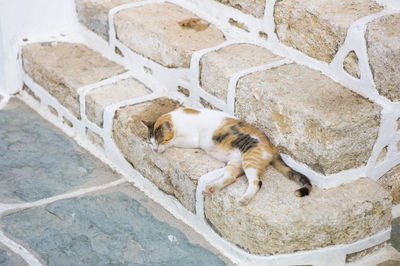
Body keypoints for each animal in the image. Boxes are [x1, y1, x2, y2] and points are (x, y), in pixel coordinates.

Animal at [143, 107, 312, 205]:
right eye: (150, 142)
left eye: (162, 140)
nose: (155, 150)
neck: (178, 118)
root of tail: (271, 146)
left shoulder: (191, 139)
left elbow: (177, 141)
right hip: (235, 162)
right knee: (231, 177)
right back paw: (211, 188)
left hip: (250, 158)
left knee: (257, 182)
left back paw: (245, 199)